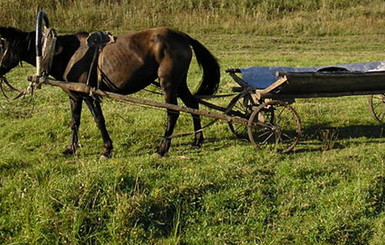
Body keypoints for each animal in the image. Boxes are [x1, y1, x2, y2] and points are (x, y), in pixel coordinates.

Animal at [0, 26, 220, 158]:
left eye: (0, 45)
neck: (69, 53)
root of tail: (181, 36)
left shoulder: (89, 95)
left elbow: (99, 120)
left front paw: (106, 149)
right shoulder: (74, 96)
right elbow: (74, 122)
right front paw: (71, 148)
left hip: (169, 84)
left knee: (172, 113)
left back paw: (162, 148)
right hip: (179, 83)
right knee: (193, 105)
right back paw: (197, 140)